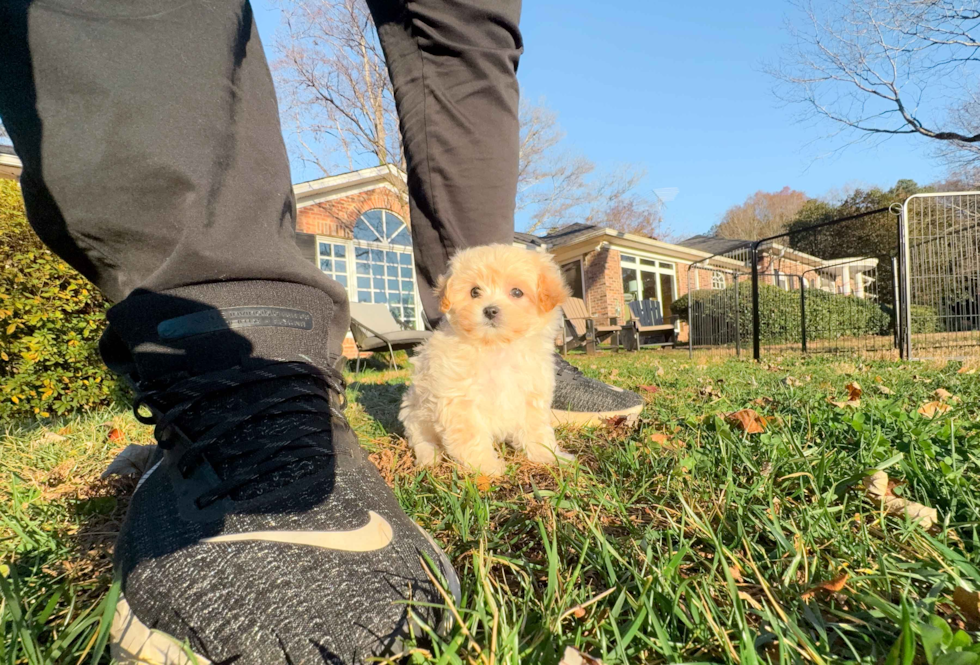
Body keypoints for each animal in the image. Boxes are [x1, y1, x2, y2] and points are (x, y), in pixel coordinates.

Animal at [400, 243, 576, 472]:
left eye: (517, 292)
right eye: (474, 291)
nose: (490, 310)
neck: (496, 346)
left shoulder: (531, 395)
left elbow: (537, 430)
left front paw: (551, 456)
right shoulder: (458, 399)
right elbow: (470, 435)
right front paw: (486, 466)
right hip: (414, 411)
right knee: (421, 438)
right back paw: (429, 455)